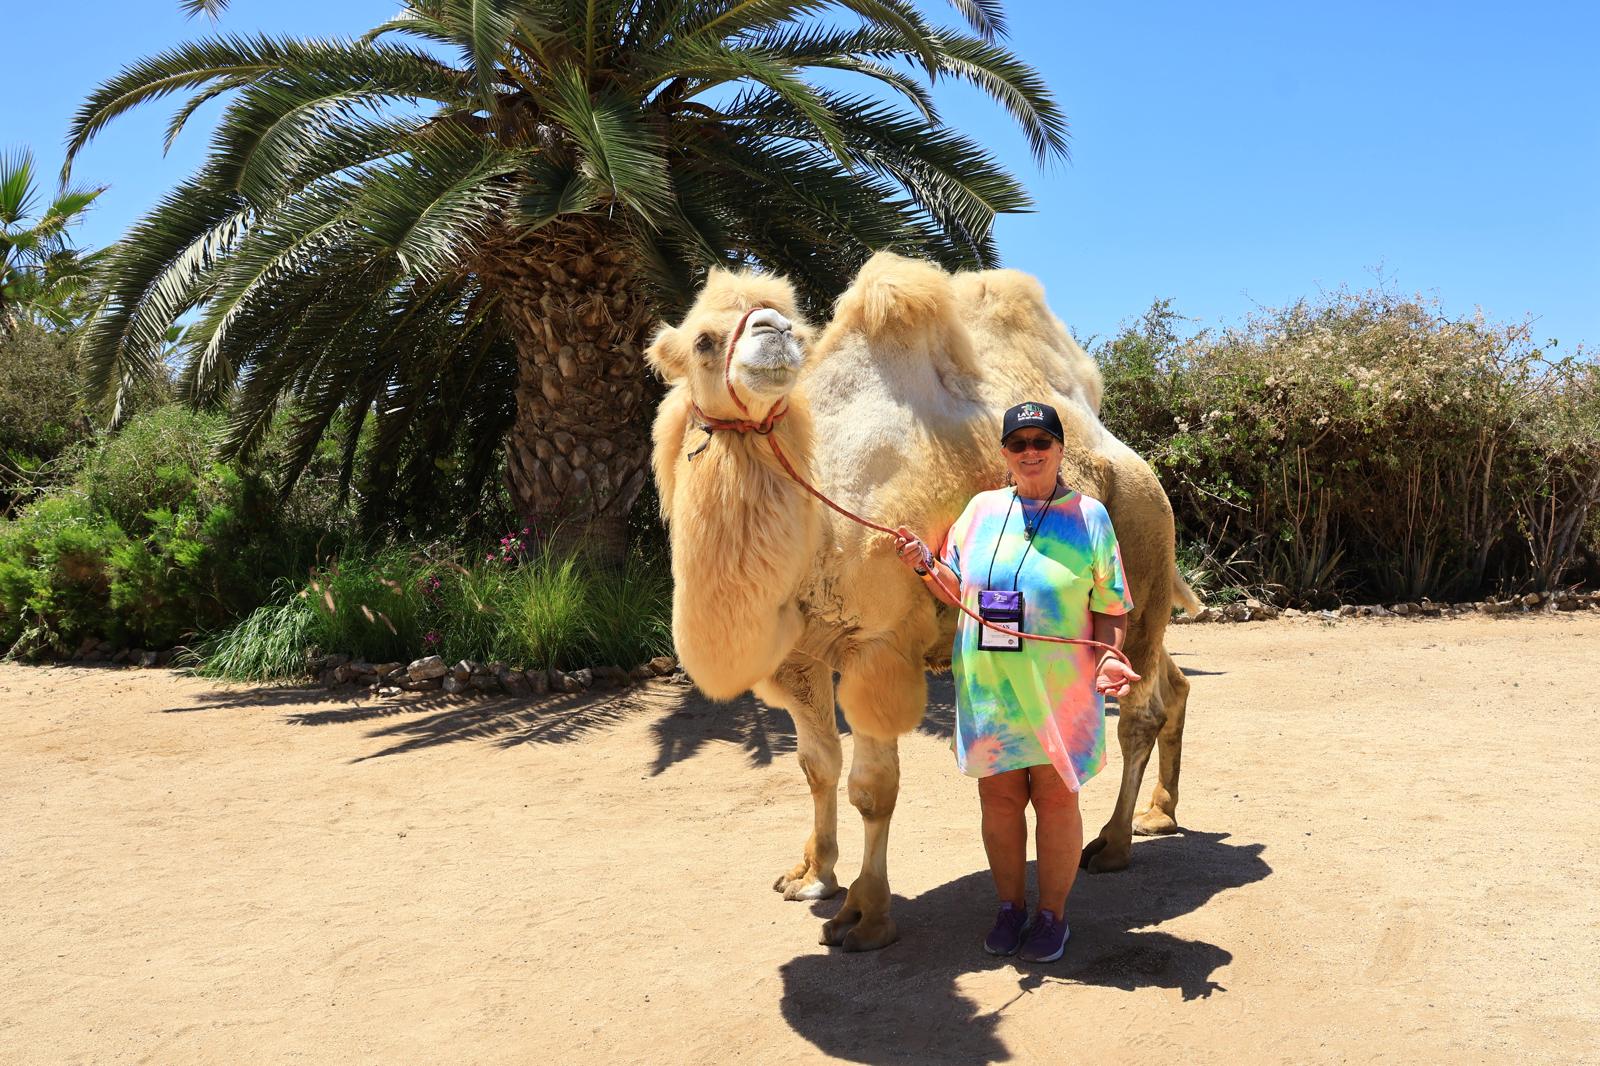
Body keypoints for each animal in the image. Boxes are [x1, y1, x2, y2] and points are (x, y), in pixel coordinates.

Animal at [647, 252, 1198, 951]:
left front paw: (865, 914)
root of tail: (1135, 463)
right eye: (703, 340)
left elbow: (872, 788)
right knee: (1173, 686)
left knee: (1136, 713)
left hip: (1141, 567)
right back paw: (1159, 814)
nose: (773, 333)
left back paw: (1114, 843)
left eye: (791, 324)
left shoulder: (876, 649)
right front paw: (811, 875)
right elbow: (816, 765)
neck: (821, 520)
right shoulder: (797, 658)